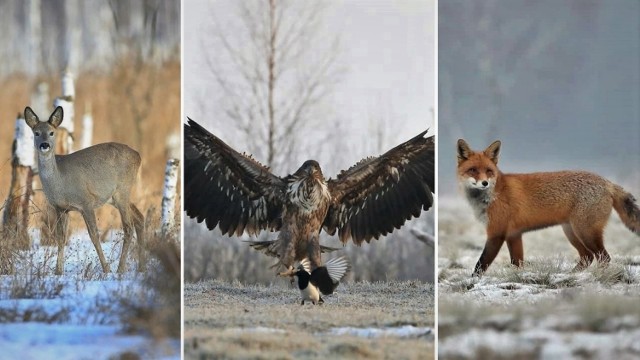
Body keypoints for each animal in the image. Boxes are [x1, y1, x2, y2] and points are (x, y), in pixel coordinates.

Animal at [25, 105, 145, 274]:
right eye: (36, 133)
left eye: (51, 132)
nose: (44, 145)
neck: (60, 182)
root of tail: (138, 155)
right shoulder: (60, 208)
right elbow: (60, 238)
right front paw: (58, 271)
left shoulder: (86, 202)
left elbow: (94, 235)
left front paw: (106, 268)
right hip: (115, 197)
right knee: (140, 218)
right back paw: (141, 267)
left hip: (123, 190)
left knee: (128, 227)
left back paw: (120, 269)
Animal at [456, 139, 640, 278]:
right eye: (473, 170)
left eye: (488, 171)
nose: (484, 183)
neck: (493, 194)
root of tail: (607, 182)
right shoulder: (514, 234)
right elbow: (517, 262)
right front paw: (519, 277)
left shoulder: (496, 233)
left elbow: (481, 263)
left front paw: (472, 282)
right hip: (572, 232)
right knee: (587, 257)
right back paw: (571, 275)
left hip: (585, 232)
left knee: (603, 257)